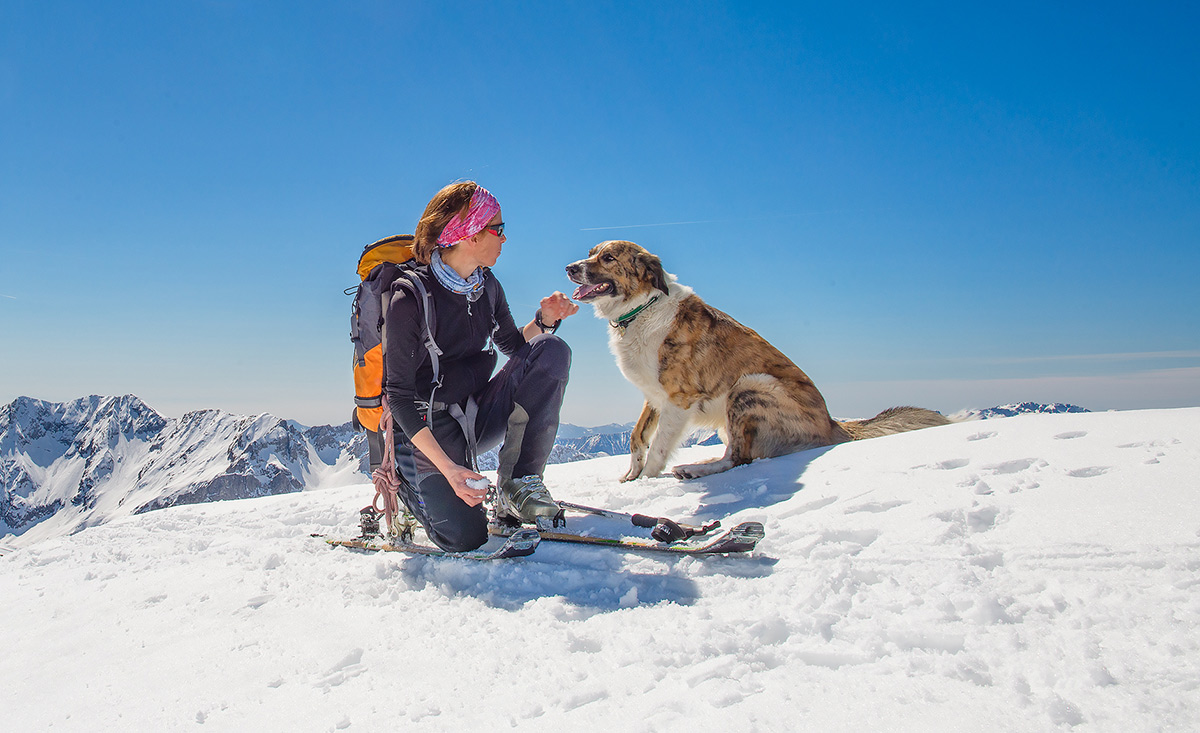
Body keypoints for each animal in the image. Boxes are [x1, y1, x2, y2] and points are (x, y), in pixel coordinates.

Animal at [566, 241, 950, 482]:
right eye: (591, 254)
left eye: (609, 258)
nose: (570, 267)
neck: (641, 309)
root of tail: (833, 425)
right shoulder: (654, 396)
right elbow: (637, 436)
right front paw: (631, 476)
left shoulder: (679, 399)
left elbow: (660, 444)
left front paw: (646, 481)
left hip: (750, 385)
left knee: (740, 457)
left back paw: (697, 469)